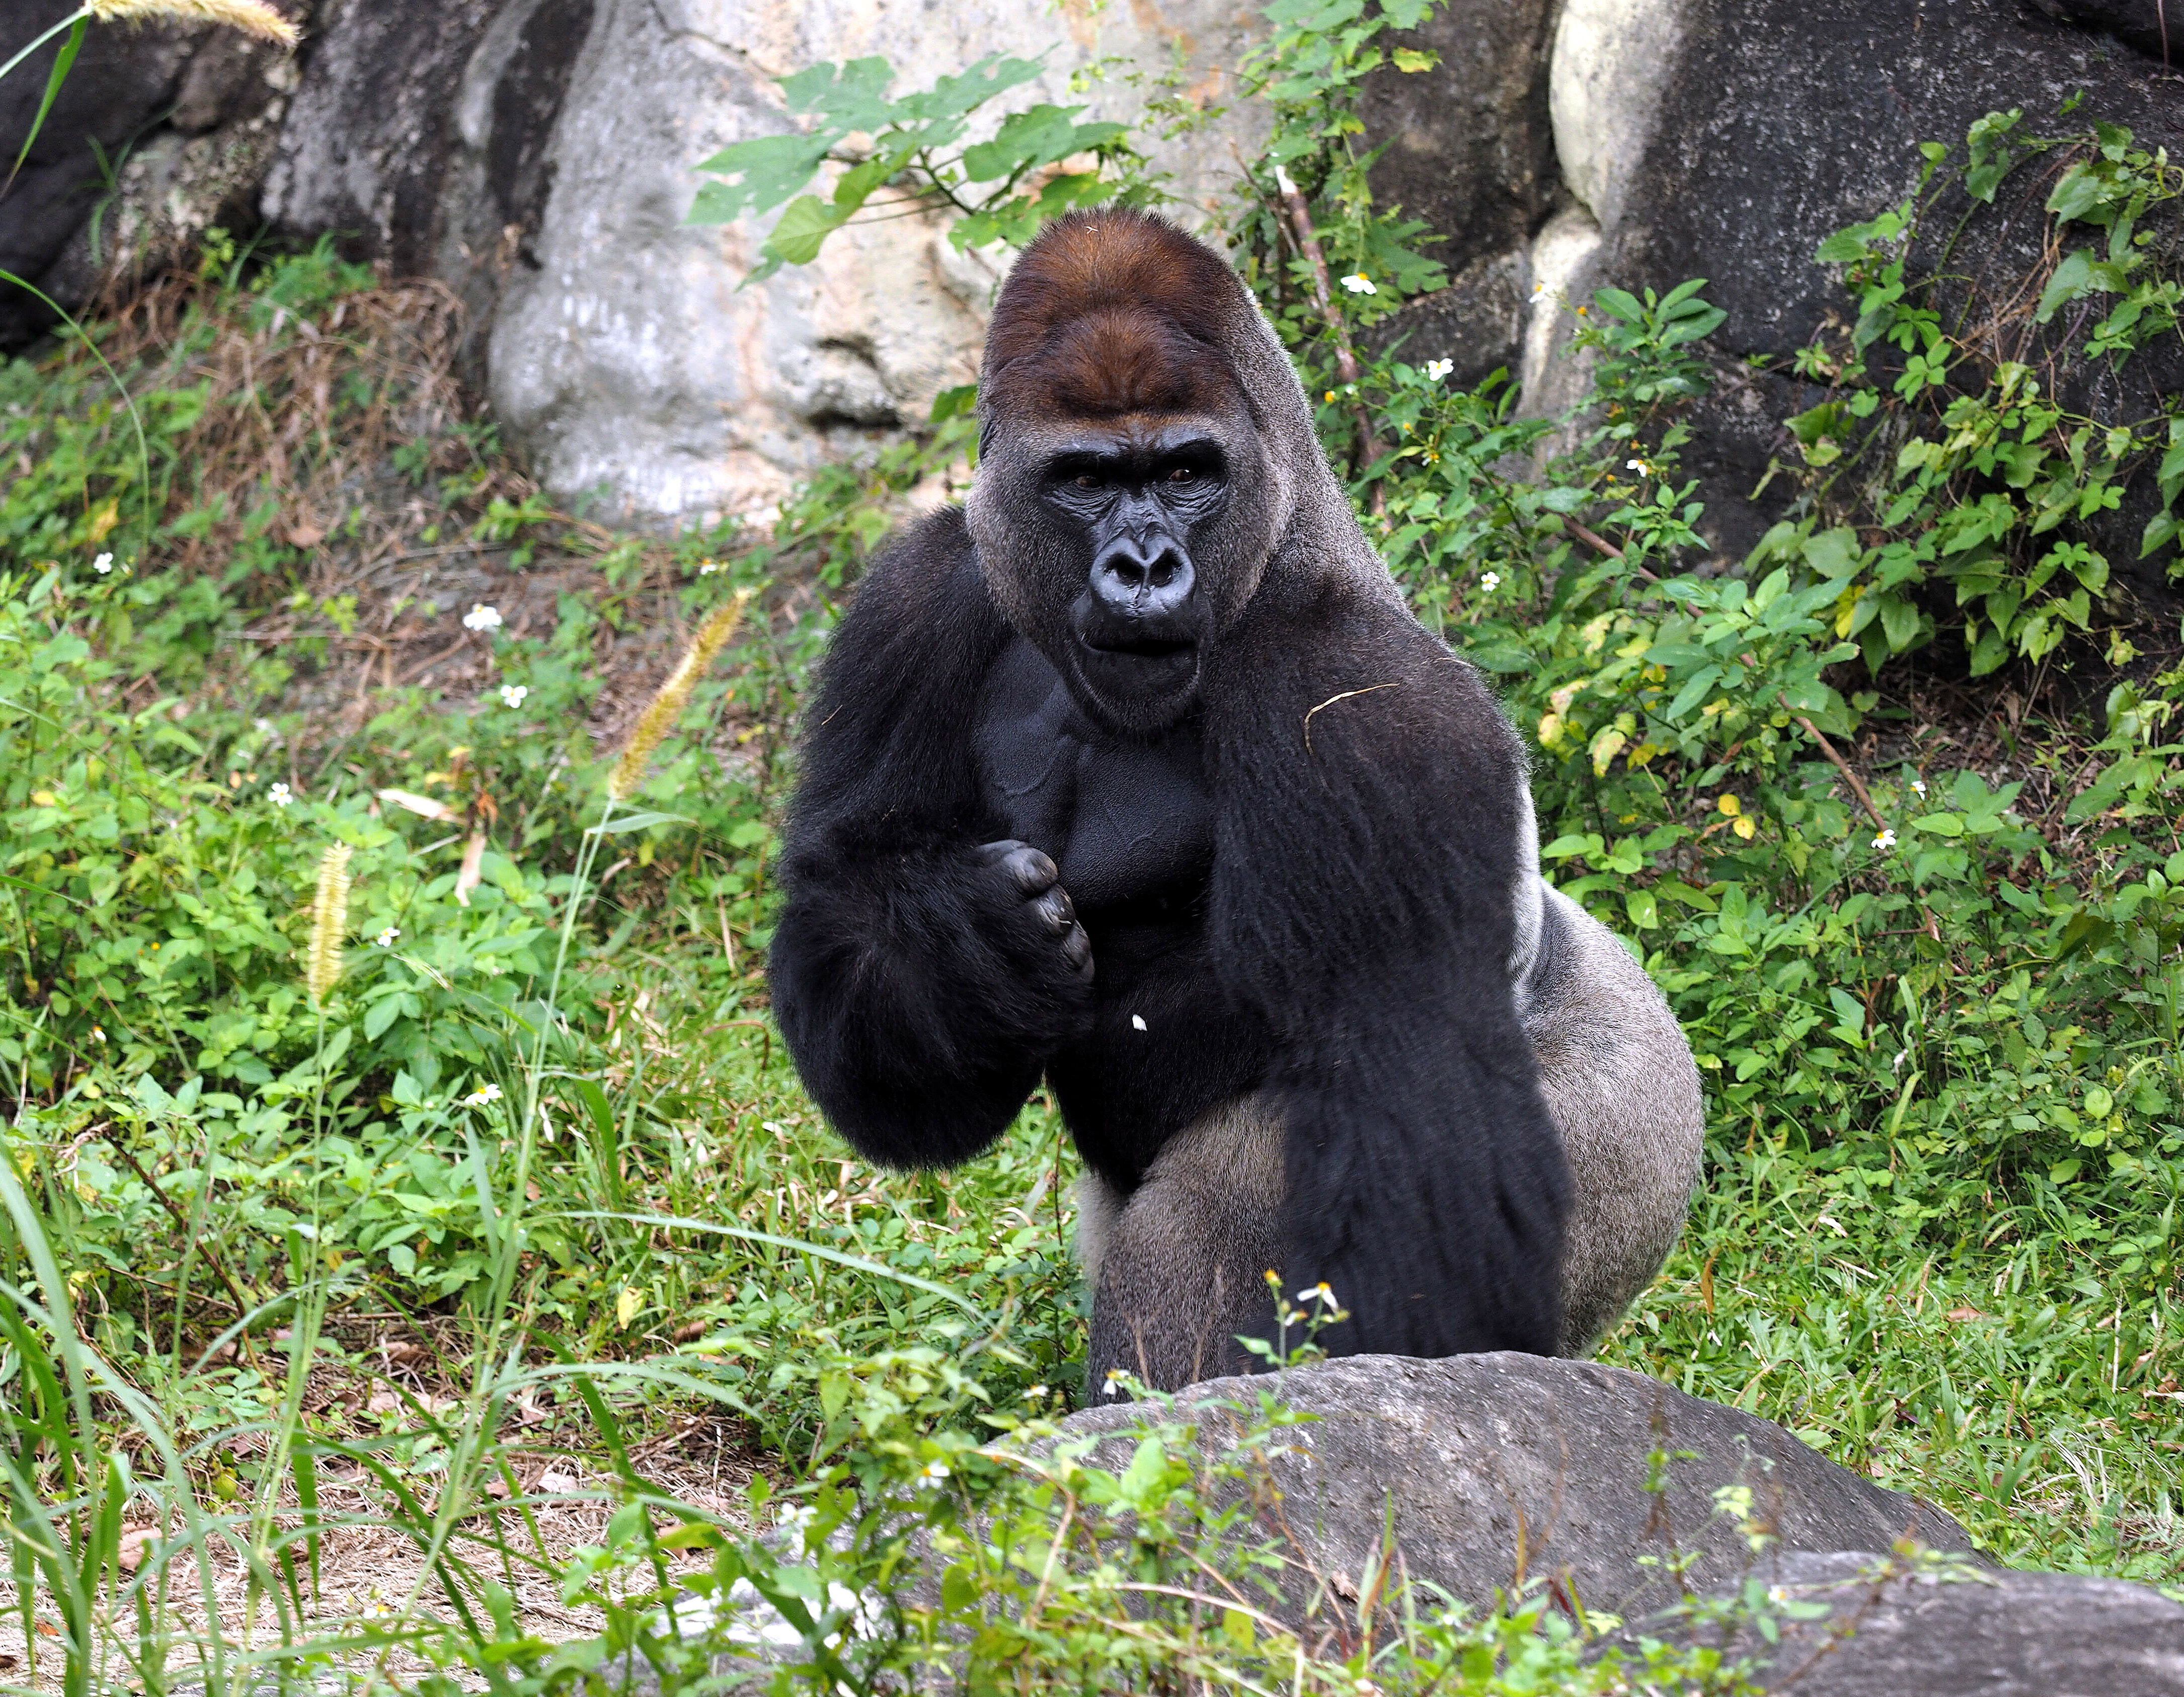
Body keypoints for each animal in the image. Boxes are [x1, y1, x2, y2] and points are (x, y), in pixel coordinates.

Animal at [768, 208, 1703, 1389]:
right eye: (1084, 480)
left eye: (1186, 470)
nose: (1143, 566)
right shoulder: (915, 598)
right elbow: (857, 913)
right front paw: (961, 946)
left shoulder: (1360, 706)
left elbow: (1415, 1132)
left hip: (1613, 1147)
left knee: (1229, 1218)